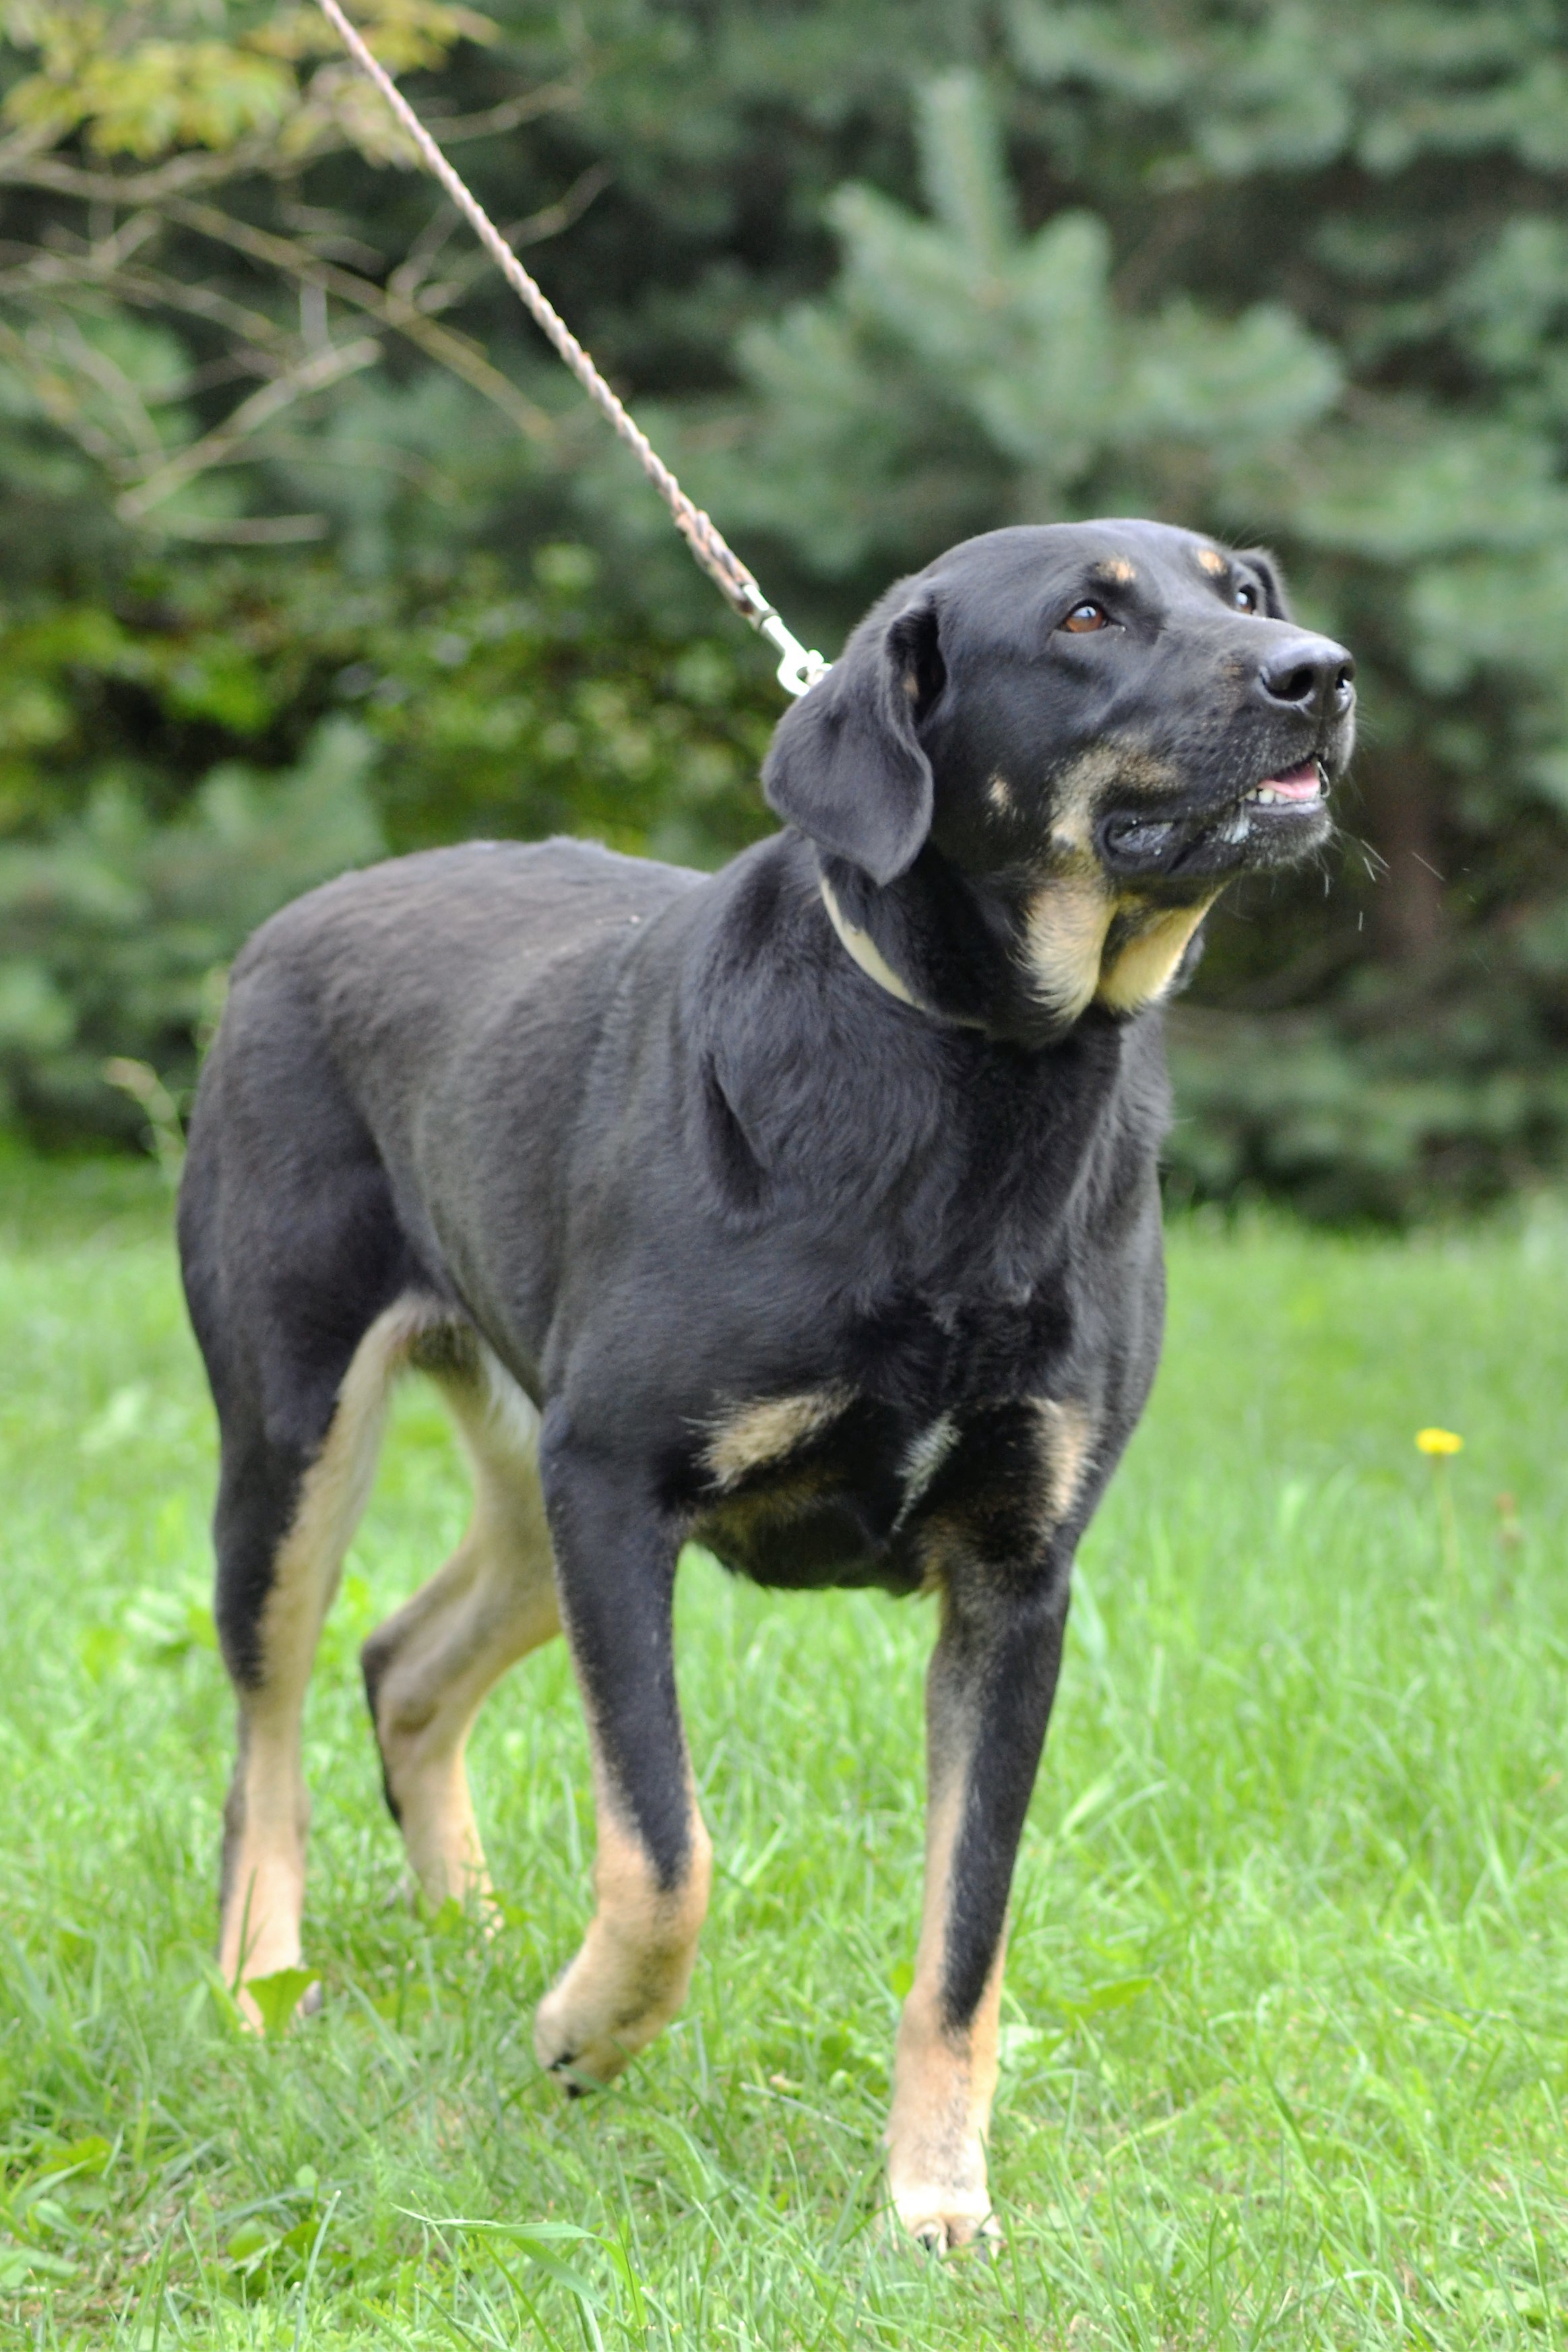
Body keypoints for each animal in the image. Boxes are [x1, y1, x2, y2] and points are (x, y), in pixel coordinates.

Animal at [177, 518, 1353, 2250]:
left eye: (1246, 594)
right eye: (1086, 614)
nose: (1317, 674)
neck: (980, 1079)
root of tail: (285, 925)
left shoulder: (1016, 1574)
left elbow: (964, 1933)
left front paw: (933, 2194)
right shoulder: (619, 1482)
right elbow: (665, 1846)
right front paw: (590, 2028)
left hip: (529, 1490)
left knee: (405, 1661)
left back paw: (468, 1928)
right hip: (303, 1435)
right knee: (269, 1737)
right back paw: (266, 1979)